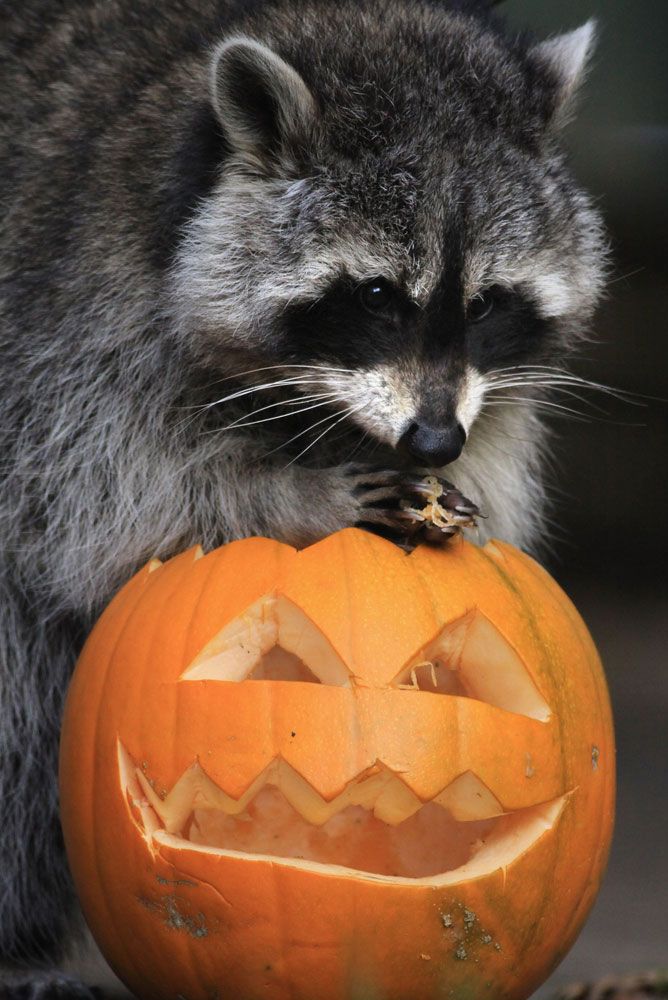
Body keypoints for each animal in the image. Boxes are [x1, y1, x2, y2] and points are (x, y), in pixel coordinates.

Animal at [0, 0, 606, 993]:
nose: (434, 442)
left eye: (486, 304)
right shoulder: (70, 318)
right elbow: (109, 505)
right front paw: (295, 497)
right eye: (377, 294)